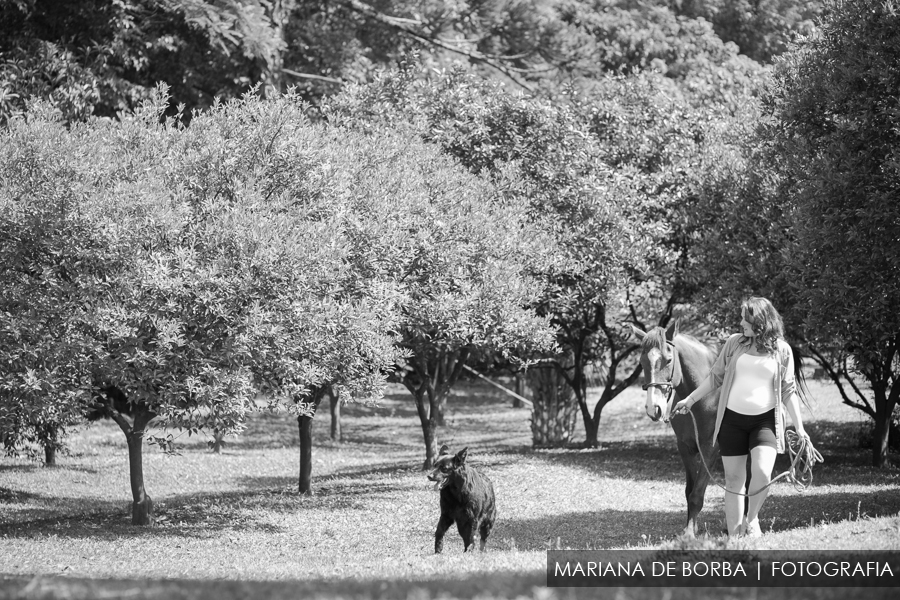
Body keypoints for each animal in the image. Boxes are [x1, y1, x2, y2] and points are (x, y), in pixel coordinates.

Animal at [628, 322, 720, 536]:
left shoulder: (710, 450)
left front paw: (689, 534)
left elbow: (697, 494)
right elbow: (689, 491)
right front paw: (690, 528)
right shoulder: (685, 448)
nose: (653, 408)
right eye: (642, 362)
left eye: (669, 360)